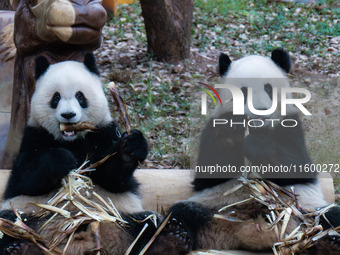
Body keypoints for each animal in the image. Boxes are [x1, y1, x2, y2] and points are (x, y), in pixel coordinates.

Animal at [0, 53, 189, 255]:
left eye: (80, 96)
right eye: (56, 97)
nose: (68, 115)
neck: (73, 140)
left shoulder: (104, 133)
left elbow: (114, 179)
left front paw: (129, 149)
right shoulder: (34, 136)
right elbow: (24, 179)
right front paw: (62, 160)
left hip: (121, 216)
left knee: (147, 222)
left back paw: (170, 240)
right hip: (31, 215)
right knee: (10, 221)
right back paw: (21, 247)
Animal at [166, 48, 338, 254]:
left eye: (268, 89)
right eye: (244, 92)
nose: (260, 112)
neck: (257, 129)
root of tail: (246, 230)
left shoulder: (290, 126)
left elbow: (298, 167)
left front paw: (256, 145)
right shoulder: (213, 126)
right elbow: (207, 174)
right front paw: (233, 133)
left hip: (302, 210)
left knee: (330, 215)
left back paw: (329, 242)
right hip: (215, 208)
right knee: (180, 213)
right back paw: (173, 238)